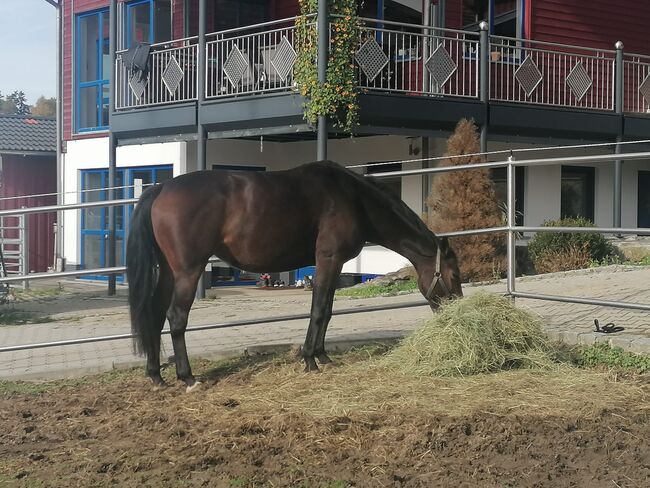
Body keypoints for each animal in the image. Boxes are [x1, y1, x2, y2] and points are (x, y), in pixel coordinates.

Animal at [126, 162, 460, 390]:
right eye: (455, 275)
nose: (454, 313)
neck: (354, 199)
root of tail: (161, 188)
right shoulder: (329, 260)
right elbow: (319, 309)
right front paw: (310, 359)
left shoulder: (335, 265)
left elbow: (327, 311)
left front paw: (323, 357)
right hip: (188, 269)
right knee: (176, 316)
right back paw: (188, 378)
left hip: (169, 271)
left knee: (156, 312)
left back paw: (156, 376)